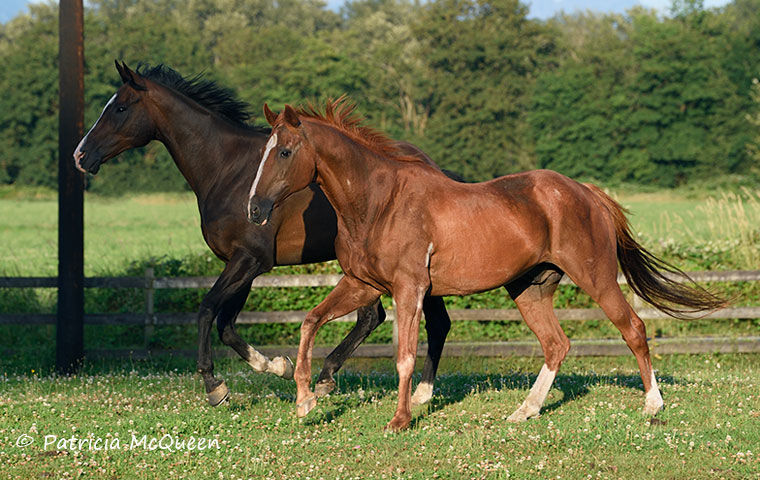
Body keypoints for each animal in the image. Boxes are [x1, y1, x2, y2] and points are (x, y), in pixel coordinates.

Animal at [71, 62, 452, 408]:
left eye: (120, 107)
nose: (80, 155)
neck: (227, 169)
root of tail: (435, 168)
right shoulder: (242, 263)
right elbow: (226, 324)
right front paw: (277, 366)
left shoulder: (249, 259)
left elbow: (207, 310)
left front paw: (215, 386)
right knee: (381, 318)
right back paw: (331, 377)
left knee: (414, 321)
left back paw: (390, 387)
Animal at [248, 99, 724, 430]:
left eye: (285, 151)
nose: (254, 209)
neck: (380, 202)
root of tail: (585, 191)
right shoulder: (361, 284)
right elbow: (310, 322)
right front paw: (305, 398)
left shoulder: (408, 289)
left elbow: (405, 356)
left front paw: (400, 420)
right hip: (530, 289)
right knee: (556, 344)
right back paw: (525, 410)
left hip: (597, 277)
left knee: (633, 329)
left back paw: (653, 404)